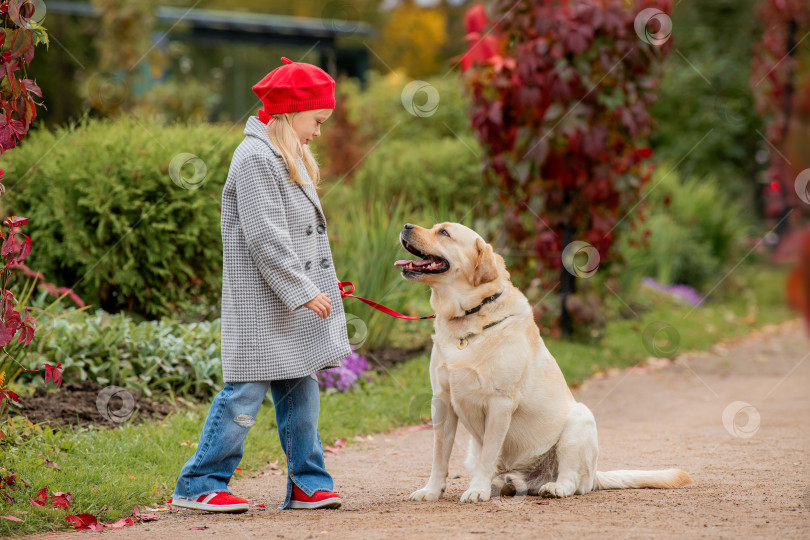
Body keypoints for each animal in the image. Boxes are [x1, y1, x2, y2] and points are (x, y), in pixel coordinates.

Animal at [394, 221, 692, 504]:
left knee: (572, 480)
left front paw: (476, 490)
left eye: (444, 232)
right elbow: (439, 455)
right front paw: (432, 491)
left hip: (579, 421)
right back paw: (504, 485)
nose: (406, 225)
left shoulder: (499, 403)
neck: (469, 317)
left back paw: (553, 488)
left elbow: (488, 454)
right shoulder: (442, 401)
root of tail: (595, 475)